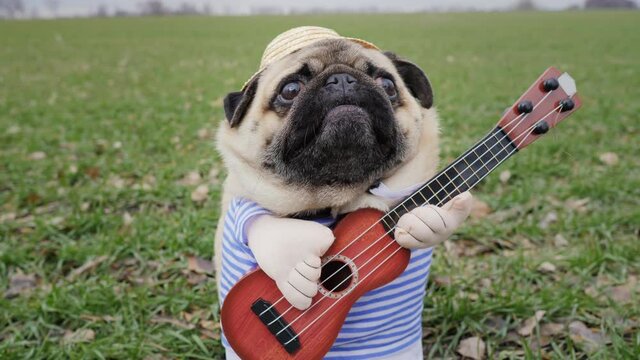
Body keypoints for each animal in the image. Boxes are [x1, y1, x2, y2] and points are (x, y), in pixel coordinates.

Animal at [215, 26, 470, 358]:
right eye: (290, 89)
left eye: (387, 84)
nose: (342, 80)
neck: (335, 195)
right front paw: (294, 260)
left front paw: (428, 222)